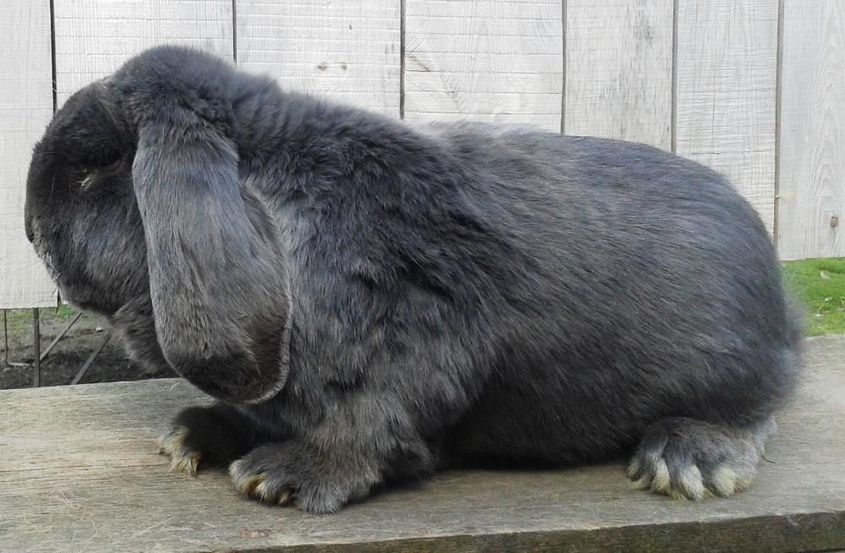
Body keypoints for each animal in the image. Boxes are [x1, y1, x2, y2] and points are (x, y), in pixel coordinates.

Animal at [23, 46, 800, 512]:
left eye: (93, 170)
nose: (30, 230)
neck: (281, 208)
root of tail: (784, 309)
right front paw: (194, 435)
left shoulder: (406, 345)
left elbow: (371, 426)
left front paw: (282, 474)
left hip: (729, 368)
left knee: (756, 411)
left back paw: (685, 460)